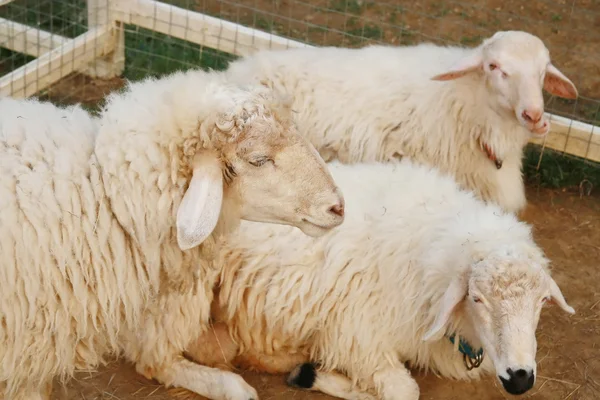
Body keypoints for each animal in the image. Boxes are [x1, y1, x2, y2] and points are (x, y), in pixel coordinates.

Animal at [186, 159, 576, 400]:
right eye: (477, 297)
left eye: (542, 301)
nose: (520, 377)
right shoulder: (357, 335)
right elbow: (405, 392)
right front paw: (323, 377)